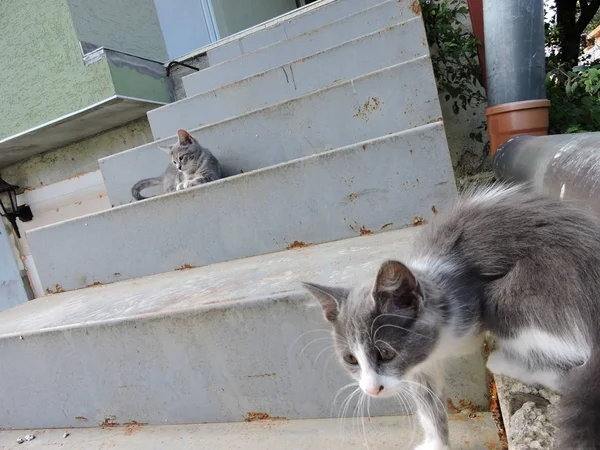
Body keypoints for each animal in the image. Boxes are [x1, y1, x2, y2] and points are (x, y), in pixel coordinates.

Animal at [302, 185, 600, 448]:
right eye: (351, 359)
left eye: (385, 354)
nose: (372, 390)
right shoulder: (418, 367)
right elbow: (428, 404)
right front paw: (436, 443)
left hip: (511, 298)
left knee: (570, 369)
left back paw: (502, 361)